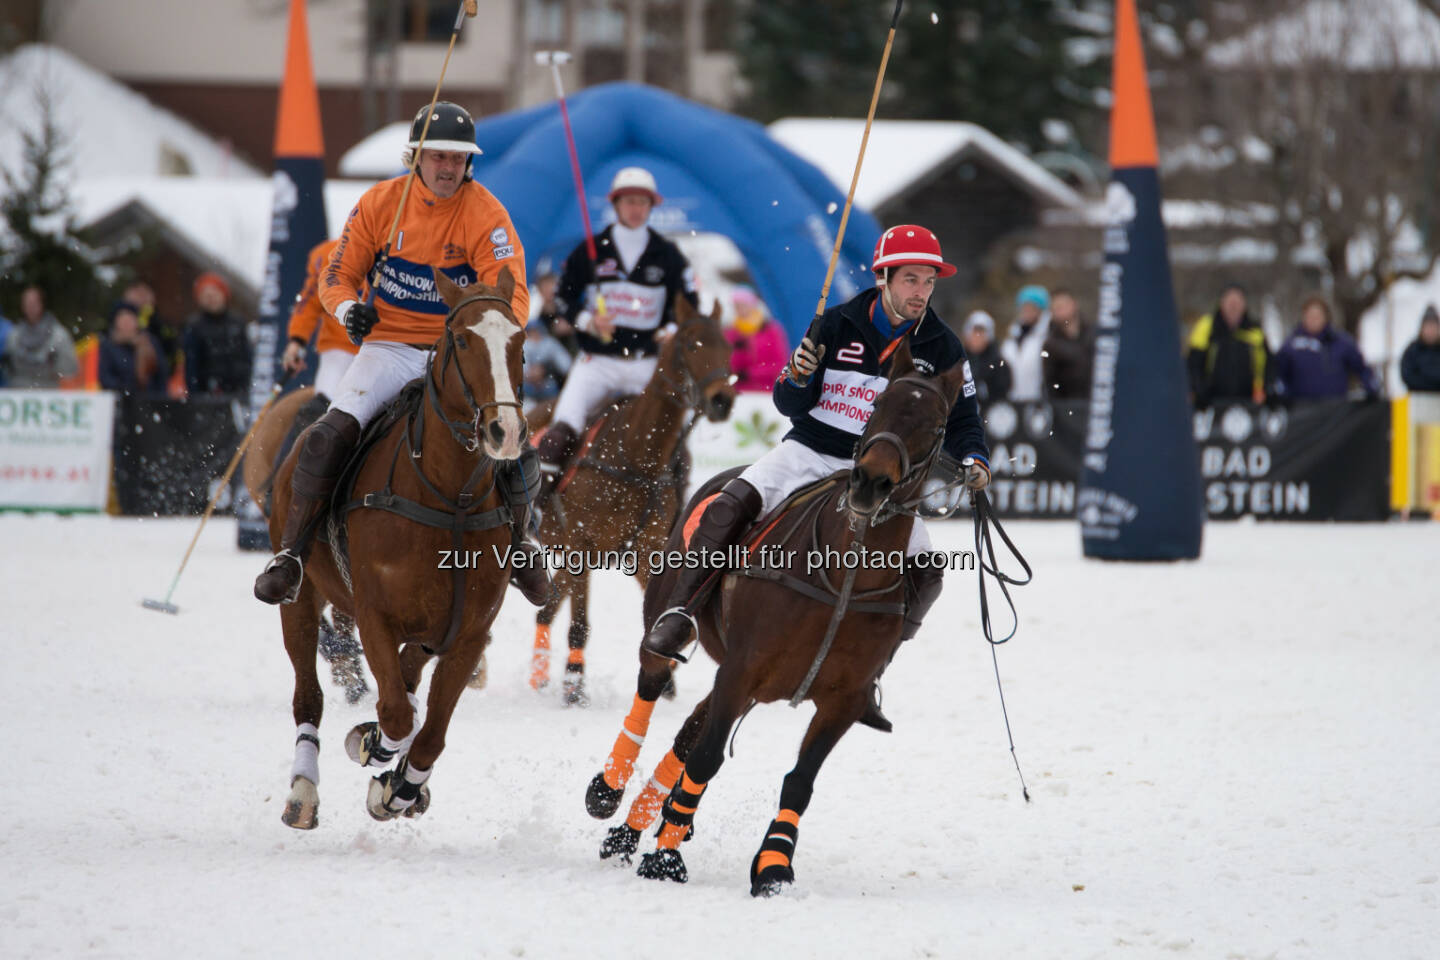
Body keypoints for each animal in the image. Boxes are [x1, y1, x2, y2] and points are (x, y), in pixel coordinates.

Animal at [267, 266, 527, 829]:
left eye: (519, 341)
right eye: (461, 339)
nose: (506, 431)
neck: (450, 497)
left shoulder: (468, 632)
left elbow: (428, 732)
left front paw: (399, 788)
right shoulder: (373, 615)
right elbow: (396, 713)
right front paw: (373, 747)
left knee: (408, 682)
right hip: (299, 599)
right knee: (308, 695)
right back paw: (303, 792)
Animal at [527, 297, 731, 705]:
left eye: (729, 348)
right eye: (691, 344)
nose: (722, 401)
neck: (636, 456)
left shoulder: (646, 549)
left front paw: (665, 680)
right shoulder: (582, 542)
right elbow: (580, 623)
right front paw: (574, 684)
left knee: (546, 609)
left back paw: (538, 675)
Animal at [584, 338, 967, 892]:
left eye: (937, 426)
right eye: (878, 404)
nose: (870, 483)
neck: (847, 571)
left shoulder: (843, 698)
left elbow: (799, 781)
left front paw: (773, 867)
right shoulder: (743, 668)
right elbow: (707, 757)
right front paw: (666, 858)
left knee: (690, 728)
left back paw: (627, 832)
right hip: (680, 621)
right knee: (654, 677)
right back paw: (608, 790)